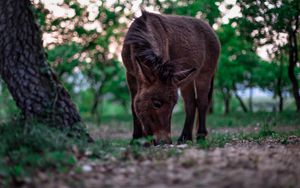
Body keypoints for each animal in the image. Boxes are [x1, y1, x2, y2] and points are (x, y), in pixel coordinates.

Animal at [120, 10, 219, 145]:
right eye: (157, 104)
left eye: (173, 105)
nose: (165, 142)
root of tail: (210, 28)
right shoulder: (130, 75)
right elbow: (133, 105)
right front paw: (137, 139)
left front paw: (143, 140)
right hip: (187, 79)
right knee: (191, 103)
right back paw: (185, 137)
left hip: (204, 74)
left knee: (202, 102)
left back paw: (200, 137)